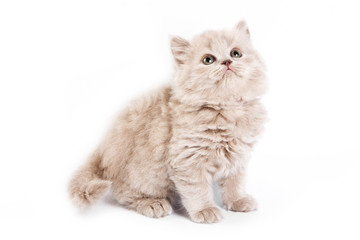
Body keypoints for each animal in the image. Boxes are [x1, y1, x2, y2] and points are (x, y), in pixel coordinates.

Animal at [69, 20, 268, 223]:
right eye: (208, 60)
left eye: (236, 53)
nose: (227, 62)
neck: (226, 109)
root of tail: (103, 149)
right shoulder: (187, 159)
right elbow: (198, 190)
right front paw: (205, 210)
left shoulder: (238, 156)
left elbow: (235, 182)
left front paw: (238, 201)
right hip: (145, 176)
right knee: (124, 193)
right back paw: (153, 203)